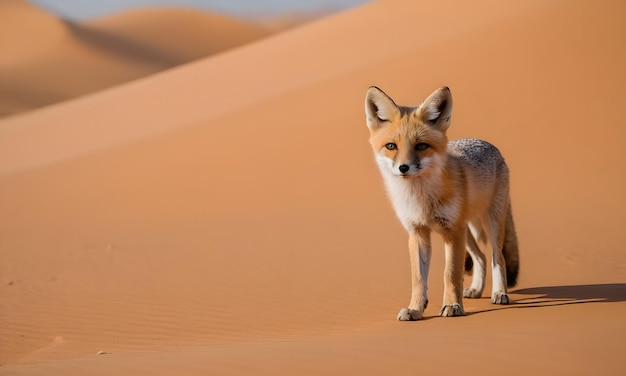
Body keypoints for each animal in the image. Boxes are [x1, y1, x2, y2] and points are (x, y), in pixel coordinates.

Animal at [360, 86, 516, 320]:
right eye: (391, 146)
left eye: (421, 146)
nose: (403, 168)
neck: (420, 200)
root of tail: (489, 145)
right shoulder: (418, 232)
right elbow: (418, 279)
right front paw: (415, 308)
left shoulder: (452, 232)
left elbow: (450, 274)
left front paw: (452, 305)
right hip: (467, 232)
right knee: (480, 258)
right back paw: (476, 290)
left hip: (491, 224)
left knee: (498, 258)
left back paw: (500, 293)